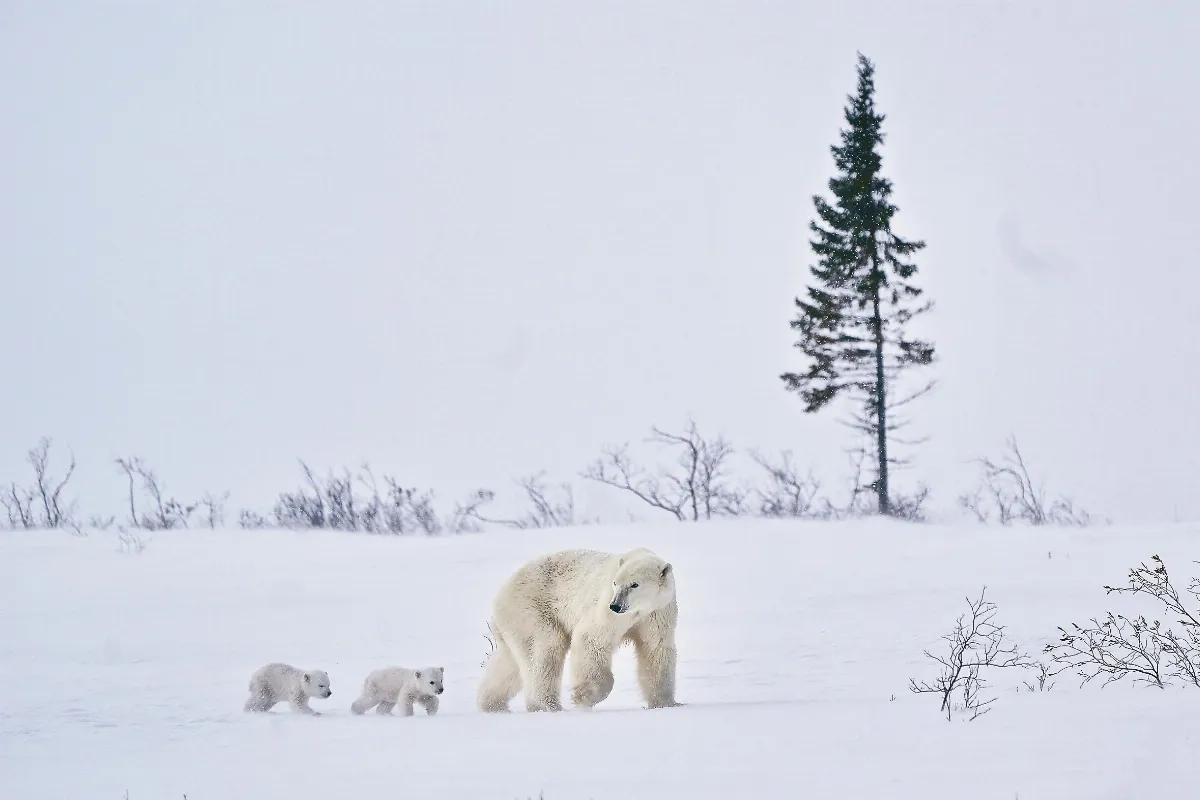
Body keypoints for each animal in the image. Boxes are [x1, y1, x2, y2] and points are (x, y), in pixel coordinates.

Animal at [476, 547, 680, 713]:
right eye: (615, 583)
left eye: (634, 584)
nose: (615, 605)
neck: (640, 610)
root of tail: (503, 591)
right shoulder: (607, 613)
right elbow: (591, 639)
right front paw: (584, 697)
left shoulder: (658, 612)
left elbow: (655, 650)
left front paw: (665, 703)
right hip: (530, 608)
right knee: (545, 650)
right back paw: (548, 706)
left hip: (515, 622)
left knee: (509, 662)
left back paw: (492, 705)